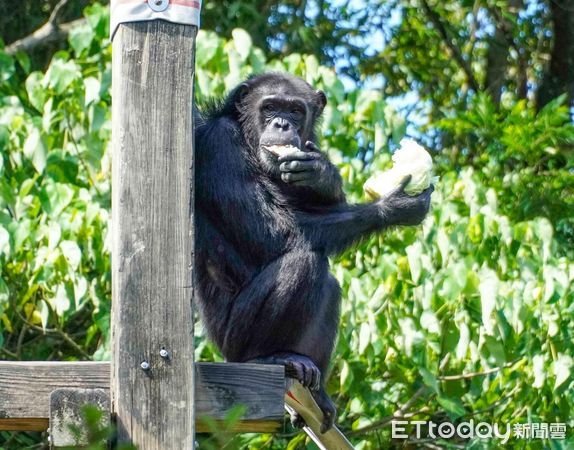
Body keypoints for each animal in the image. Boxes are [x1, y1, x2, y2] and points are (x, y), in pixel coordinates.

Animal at [196, 72, 434, 430]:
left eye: (295, 110)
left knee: (330, 286)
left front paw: (322, 173)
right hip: (232, 341)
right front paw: (392, 206)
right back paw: (268, 357)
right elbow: (280, 233)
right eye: (270, 107)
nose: (282, 123)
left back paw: (315, 386)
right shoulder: (220, 145)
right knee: (305, 262)